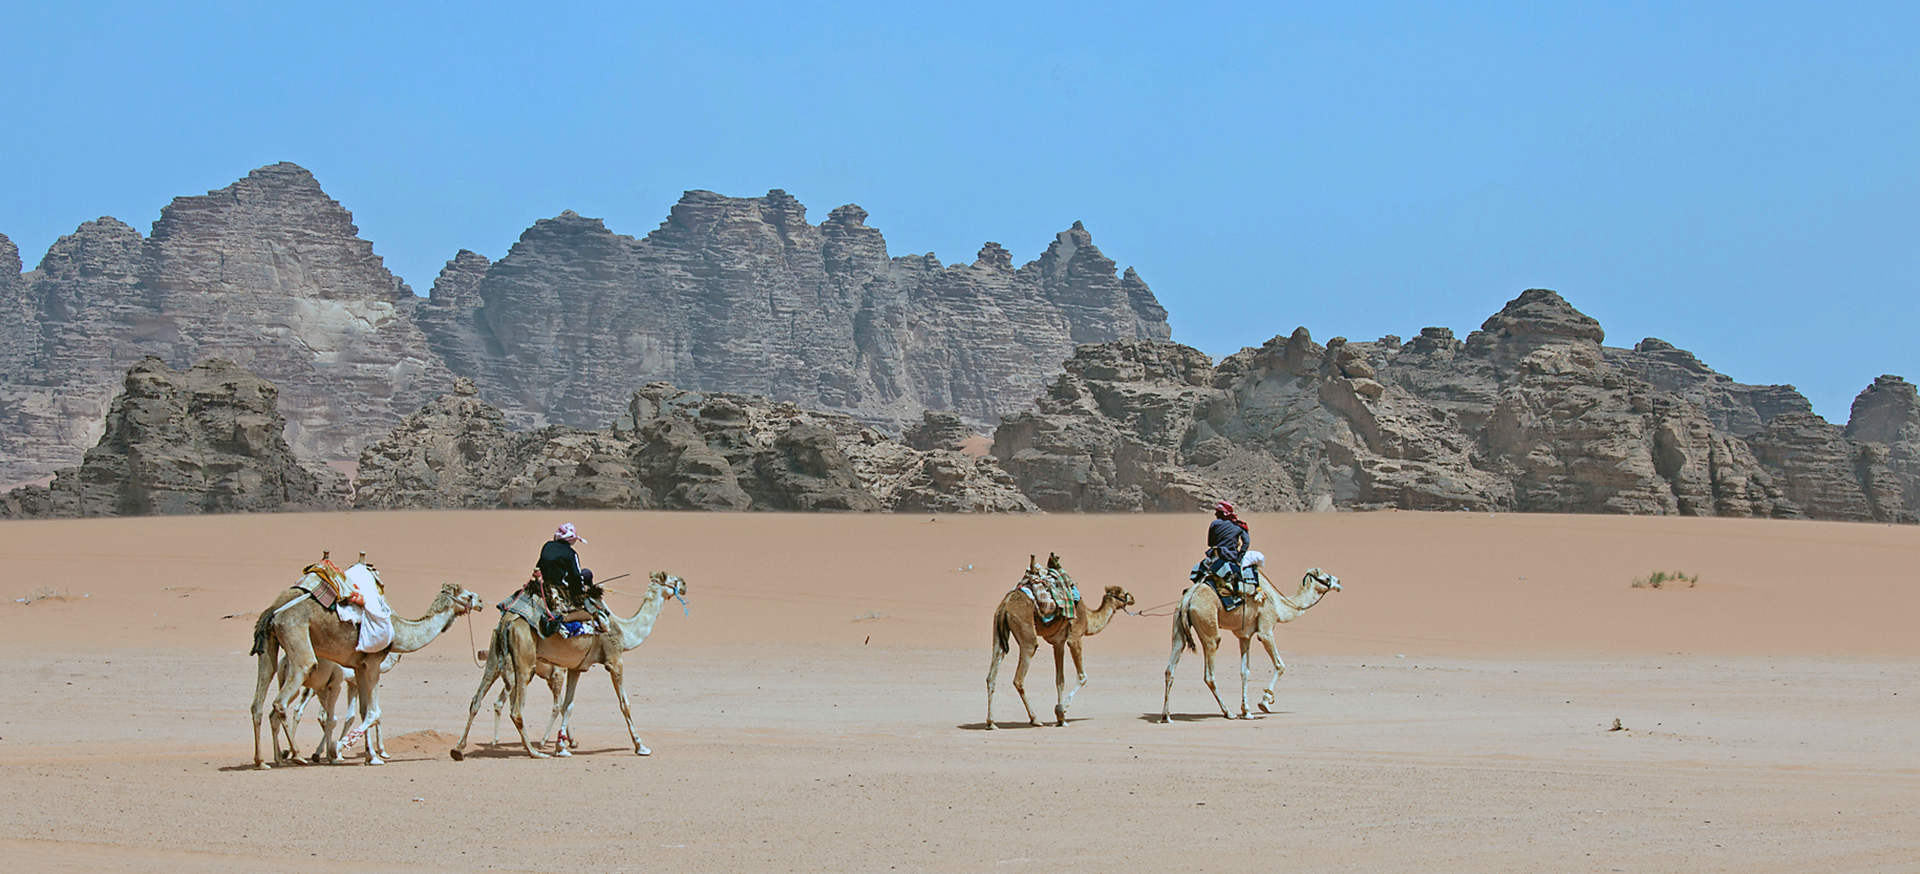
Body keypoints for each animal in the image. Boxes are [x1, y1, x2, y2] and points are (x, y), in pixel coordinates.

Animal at [247, 572, 483, 768]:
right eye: (467, 595)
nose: (480, 601)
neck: (399, 630)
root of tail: (274, 609)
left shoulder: (358, 668)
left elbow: (363, 711)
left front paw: (371, 756)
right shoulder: (372, 663)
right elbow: (374, 712)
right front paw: (340, 749)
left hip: (271, 646)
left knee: (258, 701)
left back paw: (264, 761)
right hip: (298, 642)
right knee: (283, 700)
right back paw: (295, 755)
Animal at [449, 576, 691, 760]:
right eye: (671, 579)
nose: (684, 584)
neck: (624, 631)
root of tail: (507, 622)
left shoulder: (576, 668)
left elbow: (568, 706)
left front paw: (562, 747)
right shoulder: (614, 661)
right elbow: (625, 705)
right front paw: (641, 746)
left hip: (494, 658)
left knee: (476, 699)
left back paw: (459, 749)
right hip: (524, 662)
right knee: (516, 709)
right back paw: (534, 752)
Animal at [990, 560, 1121, 733]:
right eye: (1123, 593)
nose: (1132, 599)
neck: (1088, 619)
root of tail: (1006, 604)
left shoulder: (1058, 643)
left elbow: (1060, 679)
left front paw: (1061, 720)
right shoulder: (1075, 636)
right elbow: (1082, 676)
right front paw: (1060, 710)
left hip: (998, 630)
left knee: (991, 675)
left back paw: (991, 723)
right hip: (1026, 634)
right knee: (1019, 677)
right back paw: (1035, 719)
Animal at [1159, 564, 1344, 722]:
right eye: (1326, 577)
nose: (1339, 582)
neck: (1280, 606)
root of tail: (1189, 598)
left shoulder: (1244, 636)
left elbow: (1245, 672)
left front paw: (1247, 711)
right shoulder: (1266, 630)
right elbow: (1280, 665)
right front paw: (1264, 703)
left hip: (1178, 626)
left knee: (1170, 668)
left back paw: (1166, 716)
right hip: (1208, 626)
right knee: (1209, 673)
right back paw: (1228, 712)